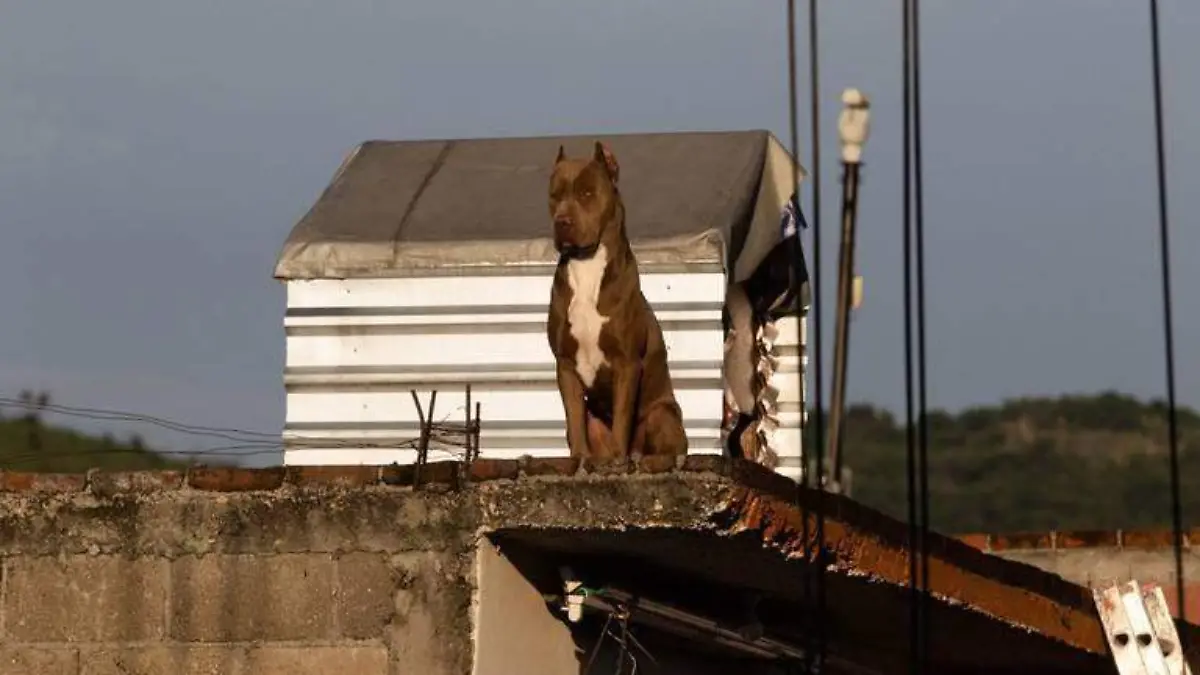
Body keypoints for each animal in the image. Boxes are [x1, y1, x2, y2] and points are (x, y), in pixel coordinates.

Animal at [544, 139, 686, 458]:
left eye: (586, 193)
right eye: (554, 196)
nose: (561, 222)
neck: (587, 265)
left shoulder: (627, 363)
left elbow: (622, 417)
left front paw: (620, 457)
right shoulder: (565, 365)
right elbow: (574, 418)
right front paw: (579, 458)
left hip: (662, 415)